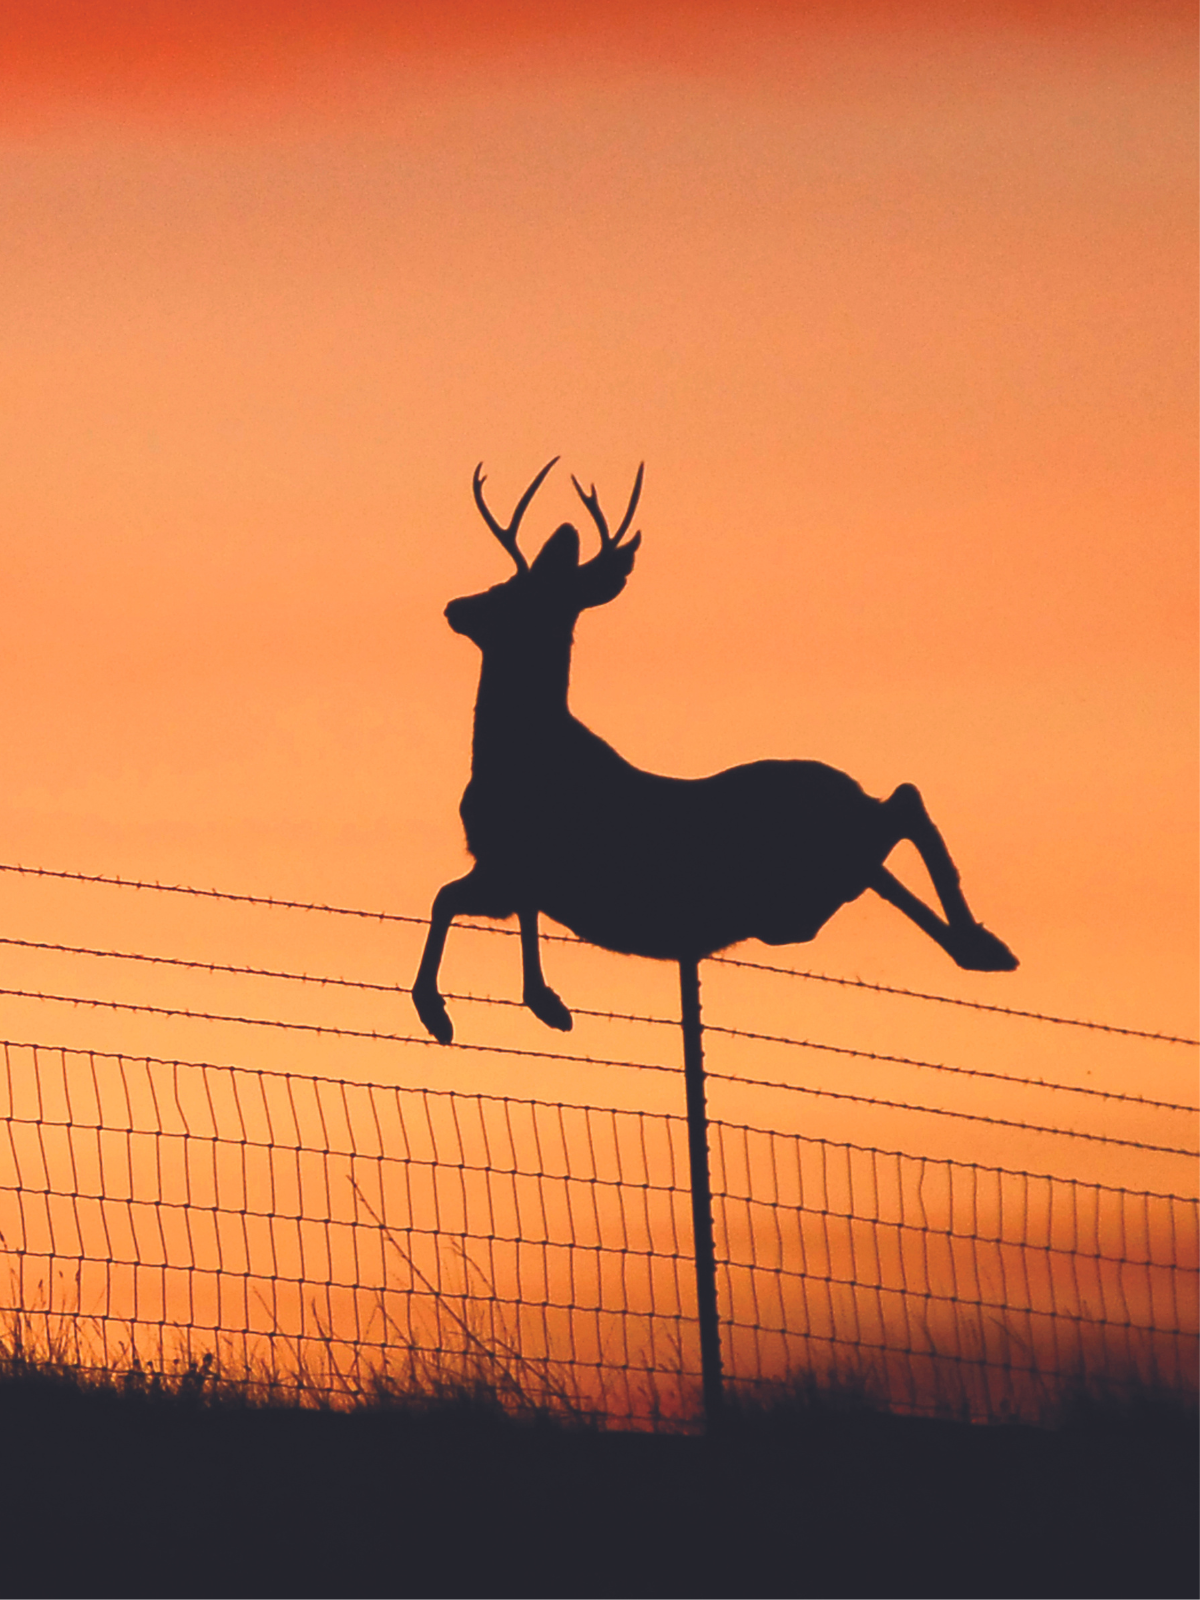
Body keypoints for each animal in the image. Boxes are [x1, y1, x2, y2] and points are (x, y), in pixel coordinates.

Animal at [412, 460, 1017, 1049]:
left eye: (510, 590)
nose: (454, 608)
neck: (518, 751)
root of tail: (850, 791)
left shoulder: (510, 861)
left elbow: (445, 898)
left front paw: (437, 1011)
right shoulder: (512, 868)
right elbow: (510, 913)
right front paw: (547, 1004)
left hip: (804, 877)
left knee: (903, 803)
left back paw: (981, 943)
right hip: (810, 891)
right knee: (891, 839)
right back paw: (982, 948)